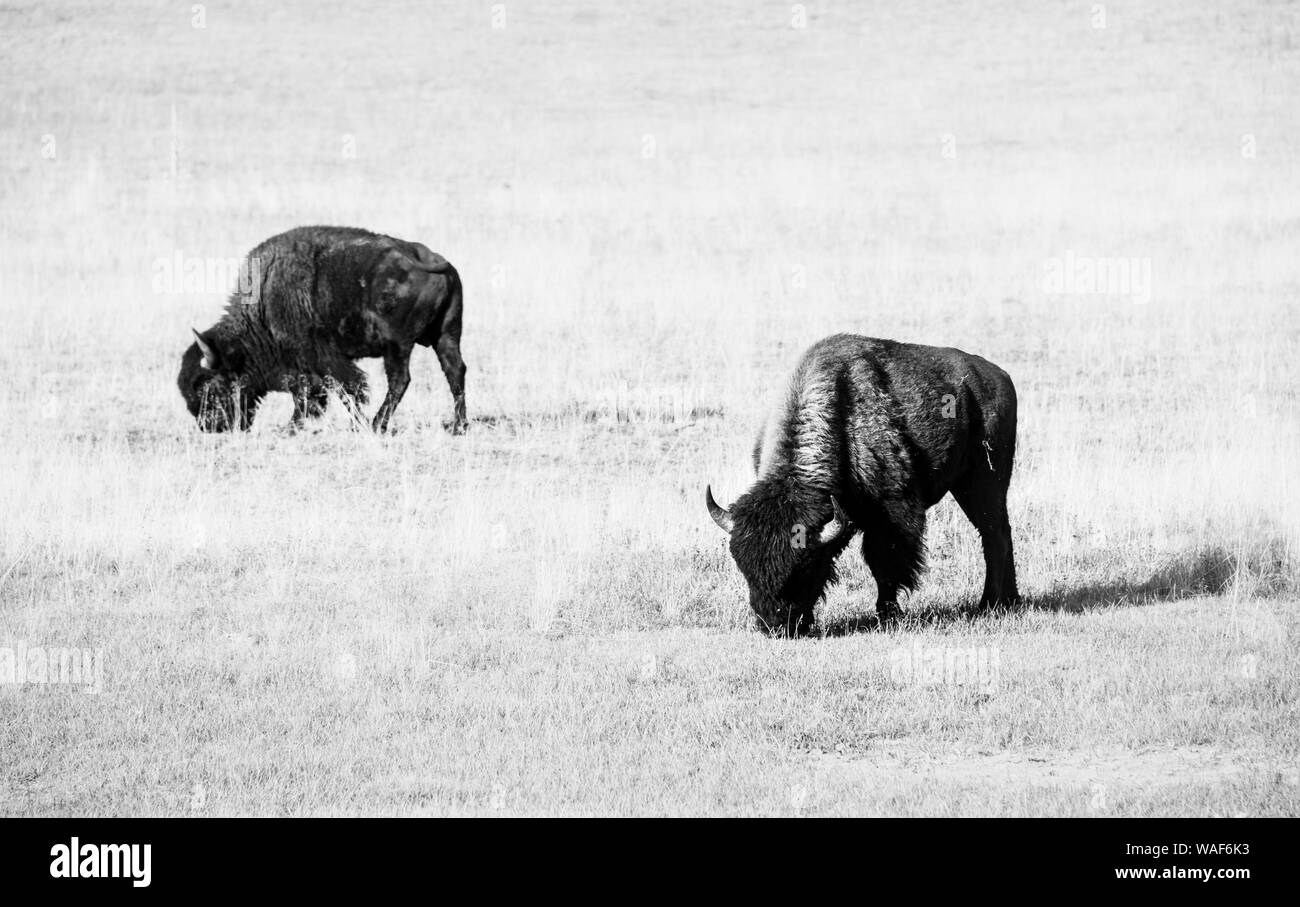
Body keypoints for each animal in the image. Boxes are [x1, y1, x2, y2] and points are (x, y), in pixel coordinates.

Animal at [178, 227, 467, 436]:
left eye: (207, 386)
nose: (209, 427)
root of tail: (426, 259)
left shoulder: (321, 360)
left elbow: (340, 390)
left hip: (397, 346)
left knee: (400, 380)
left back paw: (377, 424)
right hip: (446, 336)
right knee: (455, 371)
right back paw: (458, 426)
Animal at [707, 332, 1019, 636]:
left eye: (805, 567)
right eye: (745, 568)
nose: (774, 624)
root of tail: (1001, 377)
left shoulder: (892, 514)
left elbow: (884, 565)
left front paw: (887, 615)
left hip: (985, 480)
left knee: (994, 536)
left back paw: (989, 604)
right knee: (1002, 534)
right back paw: (1011, 600)